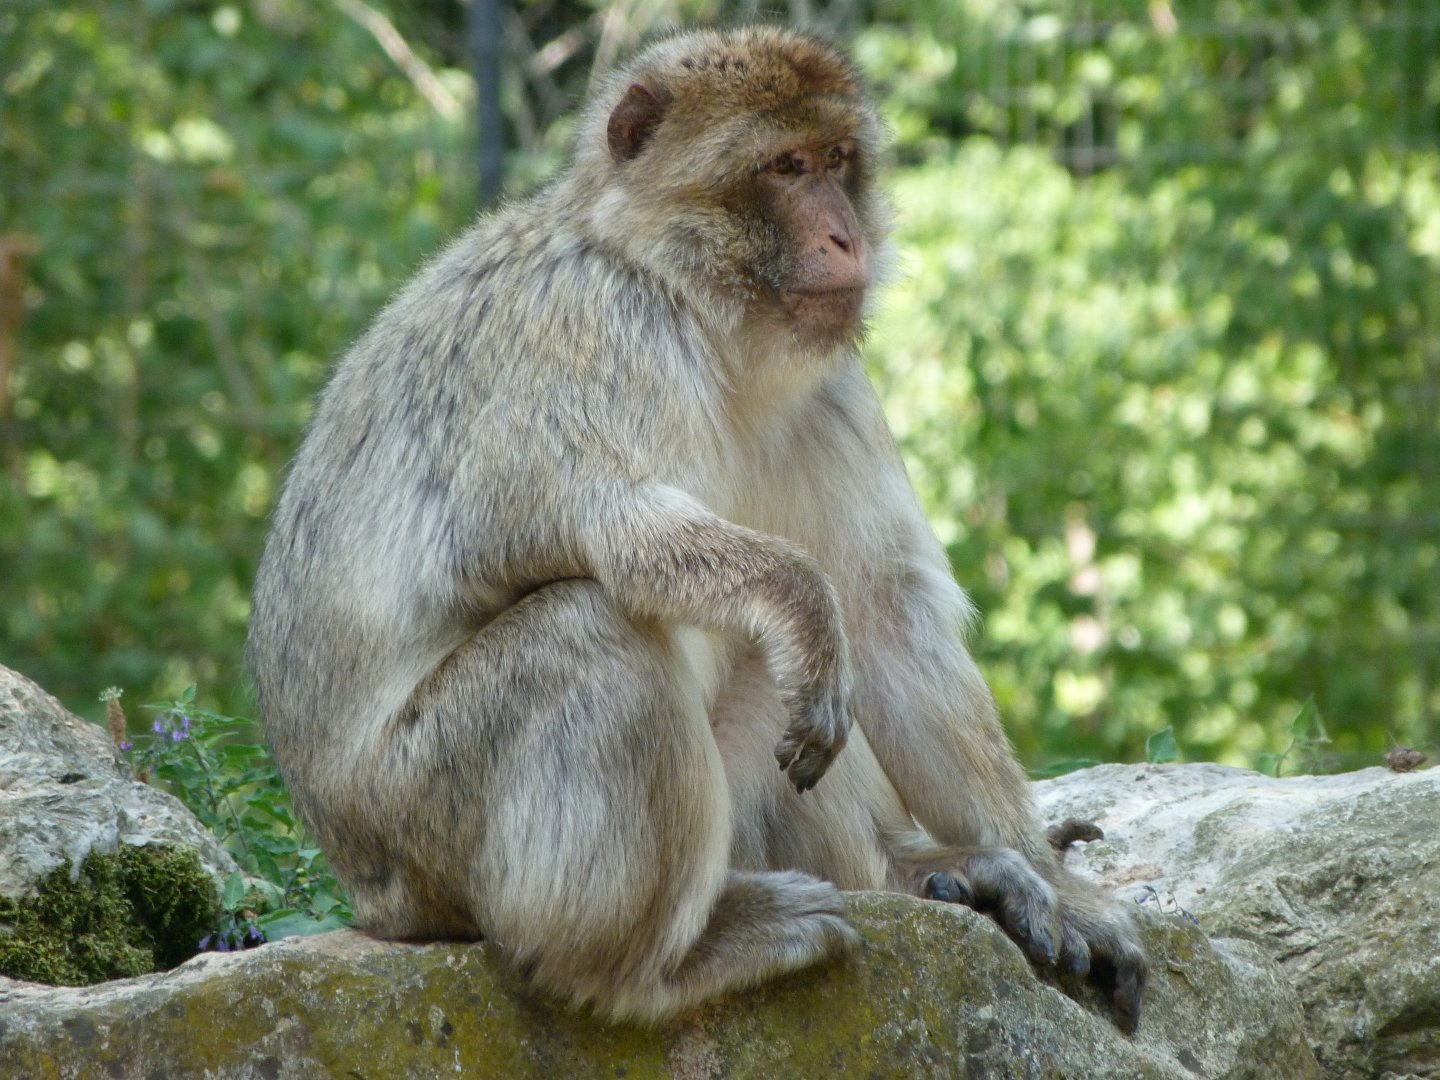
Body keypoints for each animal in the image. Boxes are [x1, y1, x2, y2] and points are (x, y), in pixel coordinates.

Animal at [247, 26, 1147, 1030]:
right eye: (785, 167)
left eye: (838, 159)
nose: (846, 235)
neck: (700, 312)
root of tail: (374, 896)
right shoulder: (596, 326)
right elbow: (618, 535)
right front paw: (802, 602)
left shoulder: (833, 387)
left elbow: (886, 615)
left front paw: (1055, 884)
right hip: (424, 820)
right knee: (593, 633)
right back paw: (655, 965)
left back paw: (920, 871)